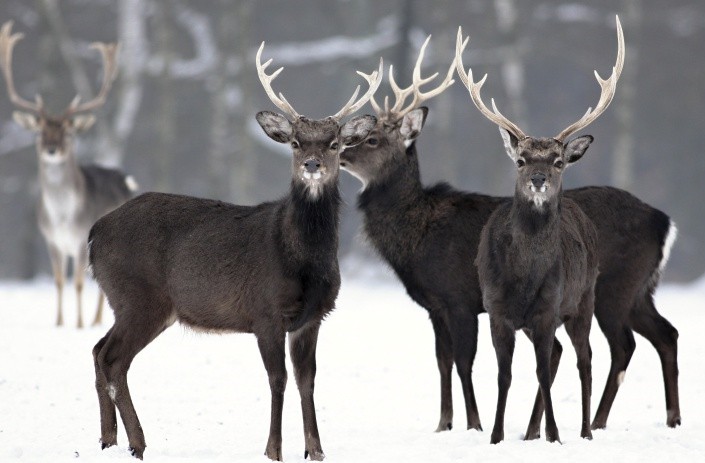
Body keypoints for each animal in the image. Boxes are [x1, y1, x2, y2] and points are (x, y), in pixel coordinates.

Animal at [0, 20, 137, 326]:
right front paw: (59, 323)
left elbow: (79, 283)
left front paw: (79, 324)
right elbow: (59, 281)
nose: (52, 149)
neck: (63, 218)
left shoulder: (80, 240)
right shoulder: (51, 240)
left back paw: (96, 320)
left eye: (69, 132)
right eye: (39, 132)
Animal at [91, 42, 382, 460]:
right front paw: (273, 449)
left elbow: (307, 381)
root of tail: (93, 234)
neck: (302, 259)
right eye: (295, 142)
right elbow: (277, 380)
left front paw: (316, 450)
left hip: (133, 303)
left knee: (99, 351)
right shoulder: (265, 312)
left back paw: (108, 440)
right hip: (138, 296)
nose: (312, 164)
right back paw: (137, 443)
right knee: (112, 359)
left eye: (335, 143)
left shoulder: (312, 317)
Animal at [456, 17, 628, 446]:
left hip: (584, 300)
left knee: (584, 360)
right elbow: (504, 375)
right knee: (560, 356)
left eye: (558, 161)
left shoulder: (548, 308)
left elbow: (544, 373)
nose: (538, 178)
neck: (522, 276)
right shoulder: (497, 311)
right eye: (520, 159)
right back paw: (533, 430)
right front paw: (496, 435)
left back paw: (583, 431)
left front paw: (555, 435)